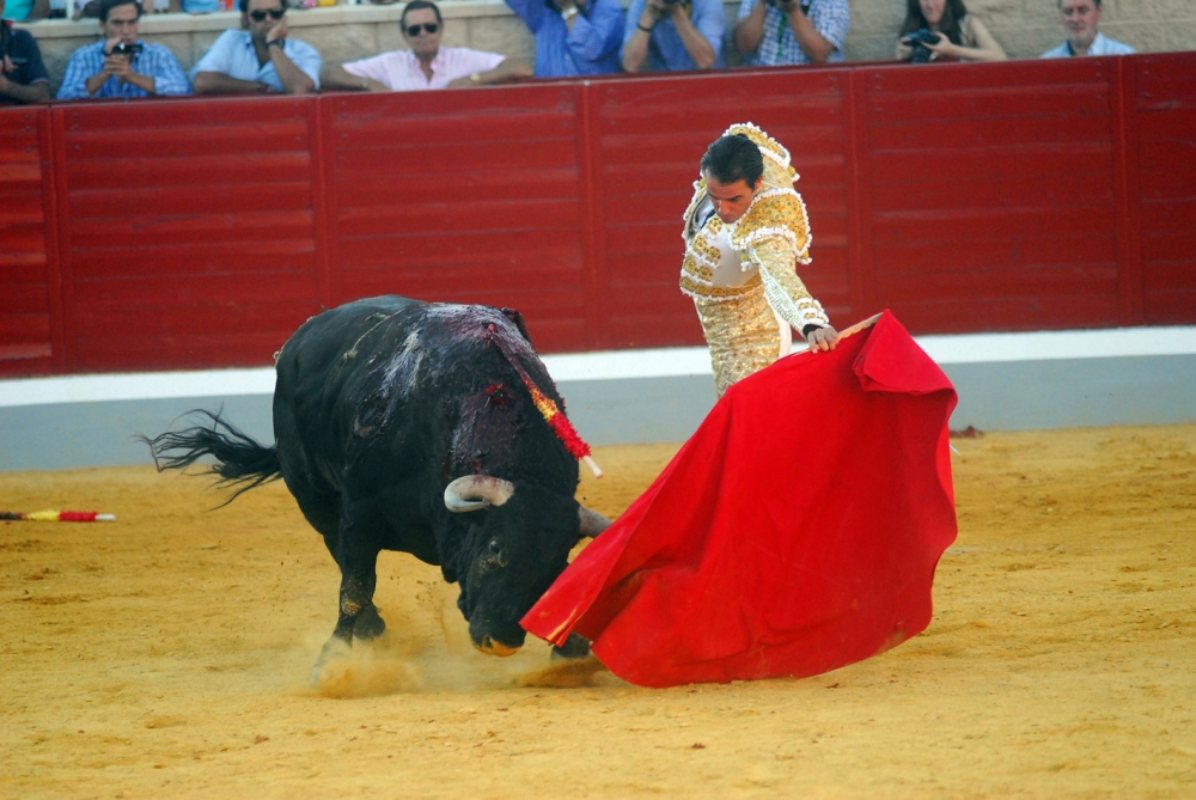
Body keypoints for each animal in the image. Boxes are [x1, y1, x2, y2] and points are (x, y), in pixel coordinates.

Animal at [144, 295, 612, 674]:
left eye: (557, 562)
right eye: (495, 548)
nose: (502, 642)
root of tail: (300, 339)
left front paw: (571, 652)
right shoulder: (360, 512)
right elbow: (355, 585)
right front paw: (331, 662)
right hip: (314, 499)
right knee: (339, 556)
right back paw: (372, 633)